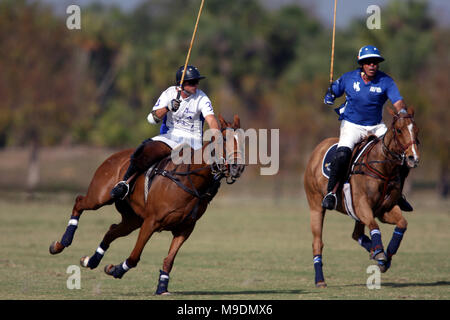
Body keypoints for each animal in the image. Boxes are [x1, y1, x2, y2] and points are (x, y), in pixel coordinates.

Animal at [49, 115, 244, 296]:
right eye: (223, 139)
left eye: (242, 140)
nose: (237, 167)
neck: (191, 181)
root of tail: (115, 155)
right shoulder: (151, 222)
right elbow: (135, 256)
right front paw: (117, 270)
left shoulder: (185, 228)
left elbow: (169, 260)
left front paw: (161, 287)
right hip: (100, 197)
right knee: (79, 202)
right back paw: (61, 243)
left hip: (133, 219)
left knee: (111, 230)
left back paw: (91, 260)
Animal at [304, 107, 420, 288]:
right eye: (399, 130)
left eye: (416, 130)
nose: (413, 158)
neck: (384, 169)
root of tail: (318, 149)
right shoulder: (362, 205)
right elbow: (374, 226)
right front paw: (380, 254)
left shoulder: (384, 210)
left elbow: (401, 224)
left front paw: (384, 257)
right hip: (316, 206)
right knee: (317, 242)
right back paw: (320, 280)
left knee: (356, 234)